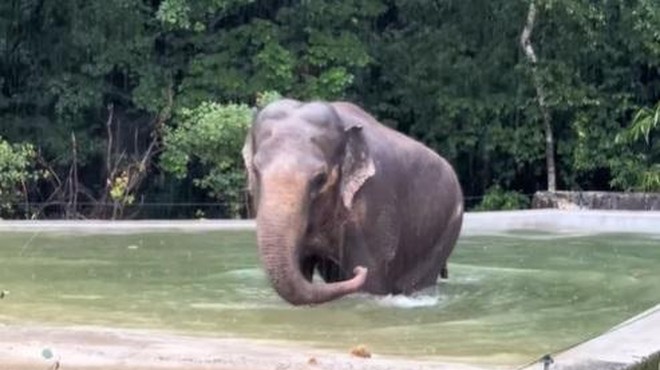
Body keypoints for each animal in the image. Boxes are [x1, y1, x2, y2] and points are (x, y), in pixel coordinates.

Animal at [242, 99, 464, 306]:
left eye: (320, 178)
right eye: (255, 170)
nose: (359, 271)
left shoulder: (375, 203)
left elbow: (373, 278)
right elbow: (301, 268)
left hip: (447, 227)